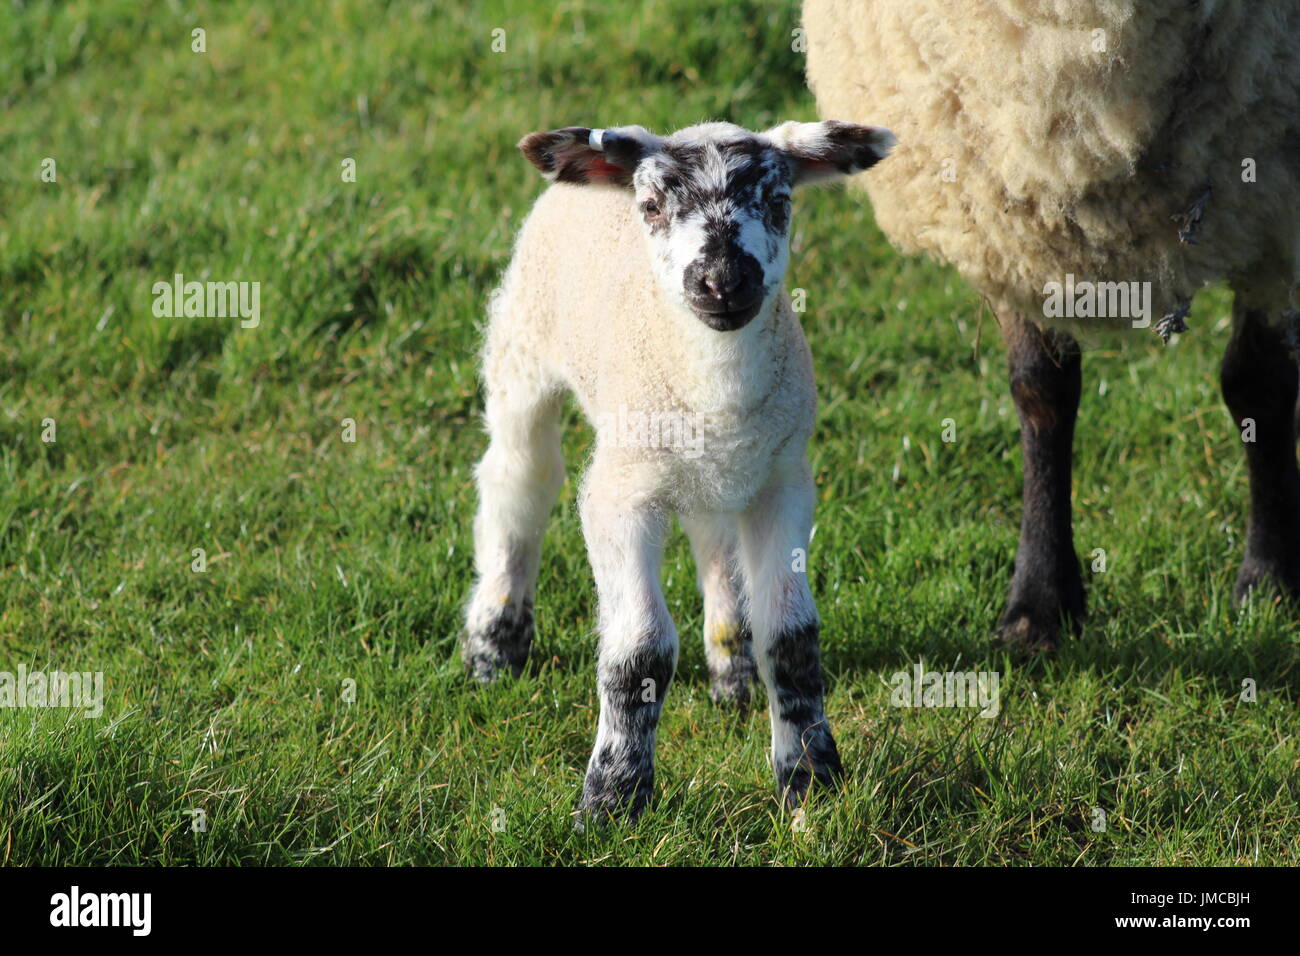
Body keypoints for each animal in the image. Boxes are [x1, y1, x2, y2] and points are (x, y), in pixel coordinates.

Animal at [465, 119, 894, 816]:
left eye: (780, 202)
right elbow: (639, 651)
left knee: (712, 534)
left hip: (713, 470)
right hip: (522, 346)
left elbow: (792, 638)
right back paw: (493, 648)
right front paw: (613, 798)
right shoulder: (620, 494)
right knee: (520, 480)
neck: (717, 387)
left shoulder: (784, 482)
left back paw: (732, 672)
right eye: (651, 206)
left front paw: (811, 780)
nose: (723, 281)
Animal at [800, 0, 1300, 650]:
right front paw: (1039, 604)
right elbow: (1042, 394)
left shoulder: (1275, 209)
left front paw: (1269, 580)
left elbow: (1258, 384)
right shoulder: (1014, 204)